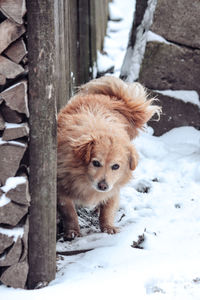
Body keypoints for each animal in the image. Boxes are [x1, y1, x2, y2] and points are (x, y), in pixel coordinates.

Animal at [57, 76, 160, 240]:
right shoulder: (61, 189)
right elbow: (69, 212)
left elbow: (108, 209)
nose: (103, 186)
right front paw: (72, 231)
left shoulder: (114, 188)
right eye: (95, 163)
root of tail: (113, 98)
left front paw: (108, 227)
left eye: (116, 166)